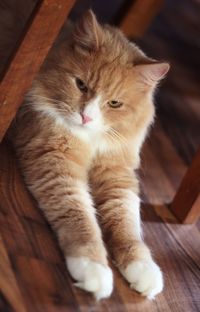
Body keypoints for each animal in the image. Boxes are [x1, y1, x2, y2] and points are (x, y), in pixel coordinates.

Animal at [10, 11, 170, 300]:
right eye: (81, 85)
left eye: (114, 103)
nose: (86, 117)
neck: (91, 139)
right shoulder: (55, 159)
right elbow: (81, 217)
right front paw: (93, 269)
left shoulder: (118, 174)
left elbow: (127, 225)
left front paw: (143, 269)